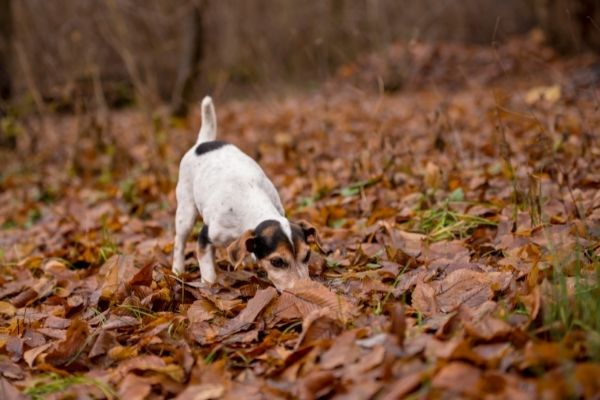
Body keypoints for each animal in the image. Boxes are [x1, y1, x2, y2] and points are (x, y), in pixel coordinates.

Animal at [171, 97, 322, 290]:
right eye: (277, 262)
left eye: (307, 256)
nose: (305, 289)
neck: (251, 202)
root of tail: (202, 143)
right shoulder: (205, 238)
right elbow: (208, 273)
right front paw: (209, 287)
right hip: (186, 212)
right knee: (179, 241)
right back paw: (177, 270)